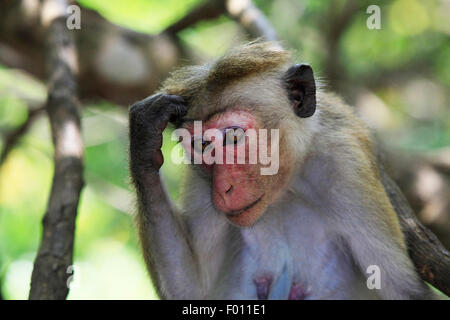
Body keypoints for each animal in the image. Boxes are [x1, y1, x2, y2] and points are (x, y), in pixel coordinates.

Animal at [128, 41, 438, 298]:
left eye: (233, 137)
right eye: (201, 145)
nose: (223, 188)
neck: (287, 187)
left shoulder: (346, 164)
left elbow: (406, 293)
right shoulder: (199, 180)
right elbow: (192, 288)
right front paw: (144, 134)